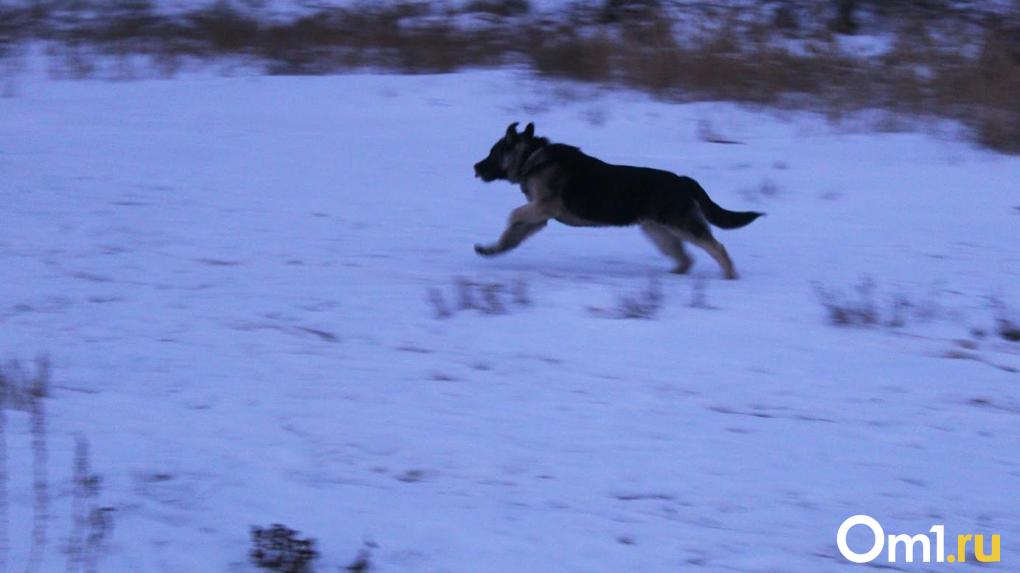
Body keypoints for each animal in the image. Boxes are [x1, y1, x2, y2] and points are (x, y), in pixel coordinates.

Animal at [473, 122, 762, 279]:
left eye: (493, 152)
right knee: (686, 259)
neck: (532, 157)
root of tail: (682, 180)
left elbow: (512, 216)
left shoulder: (543, 207)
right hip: (658, 231)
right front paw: (492, 249)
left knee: (717, 248)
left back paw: (729, 276)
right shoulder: (539, 216)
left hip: (681, 226)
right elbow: (512, 235)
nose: (475, 167)